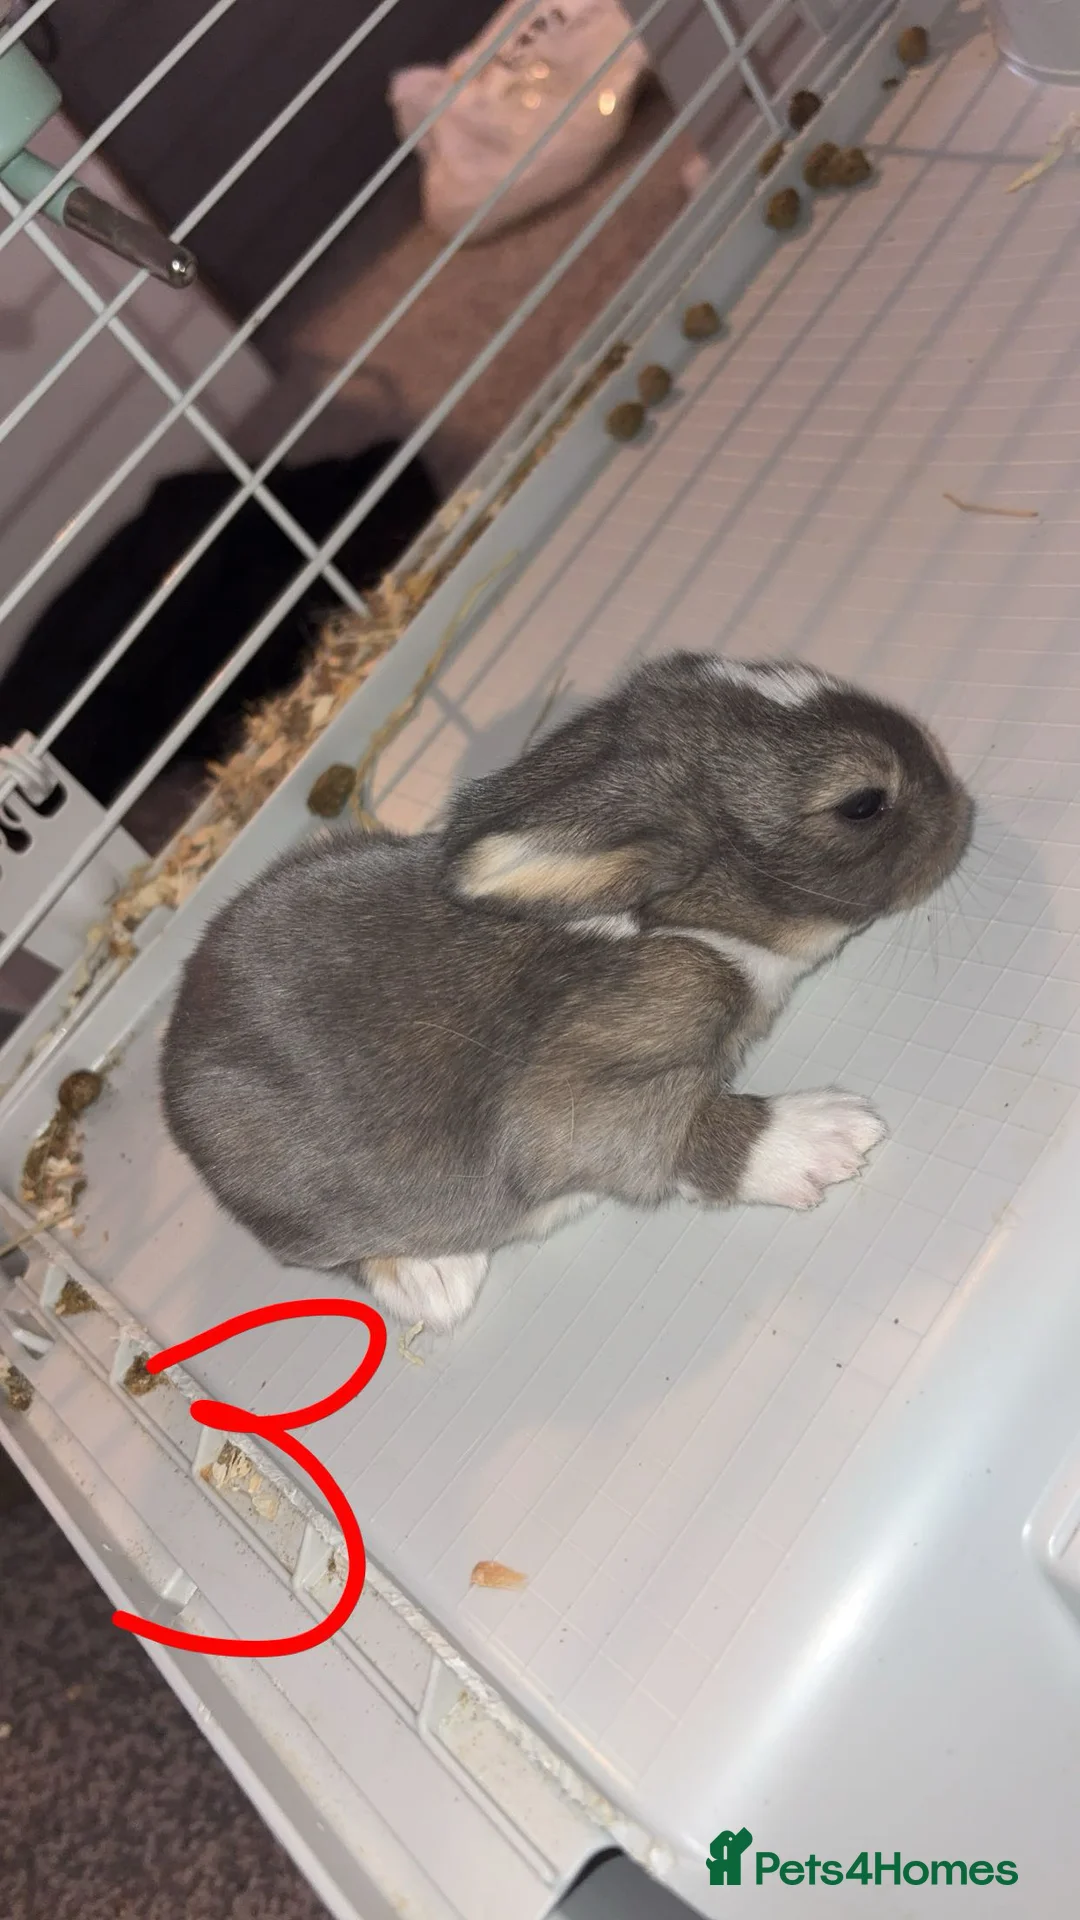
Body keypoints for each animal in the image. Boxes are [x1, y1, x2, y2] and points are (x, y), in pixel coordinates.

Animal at [160, 653, 974, 1333]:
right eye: (863, 803)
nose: (960, 801)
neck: (680, 920)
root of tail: (177, 1092)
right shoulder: (578, 1097)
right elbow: (679, 1134)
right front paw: (826, 1138)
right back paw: (435, 1281)